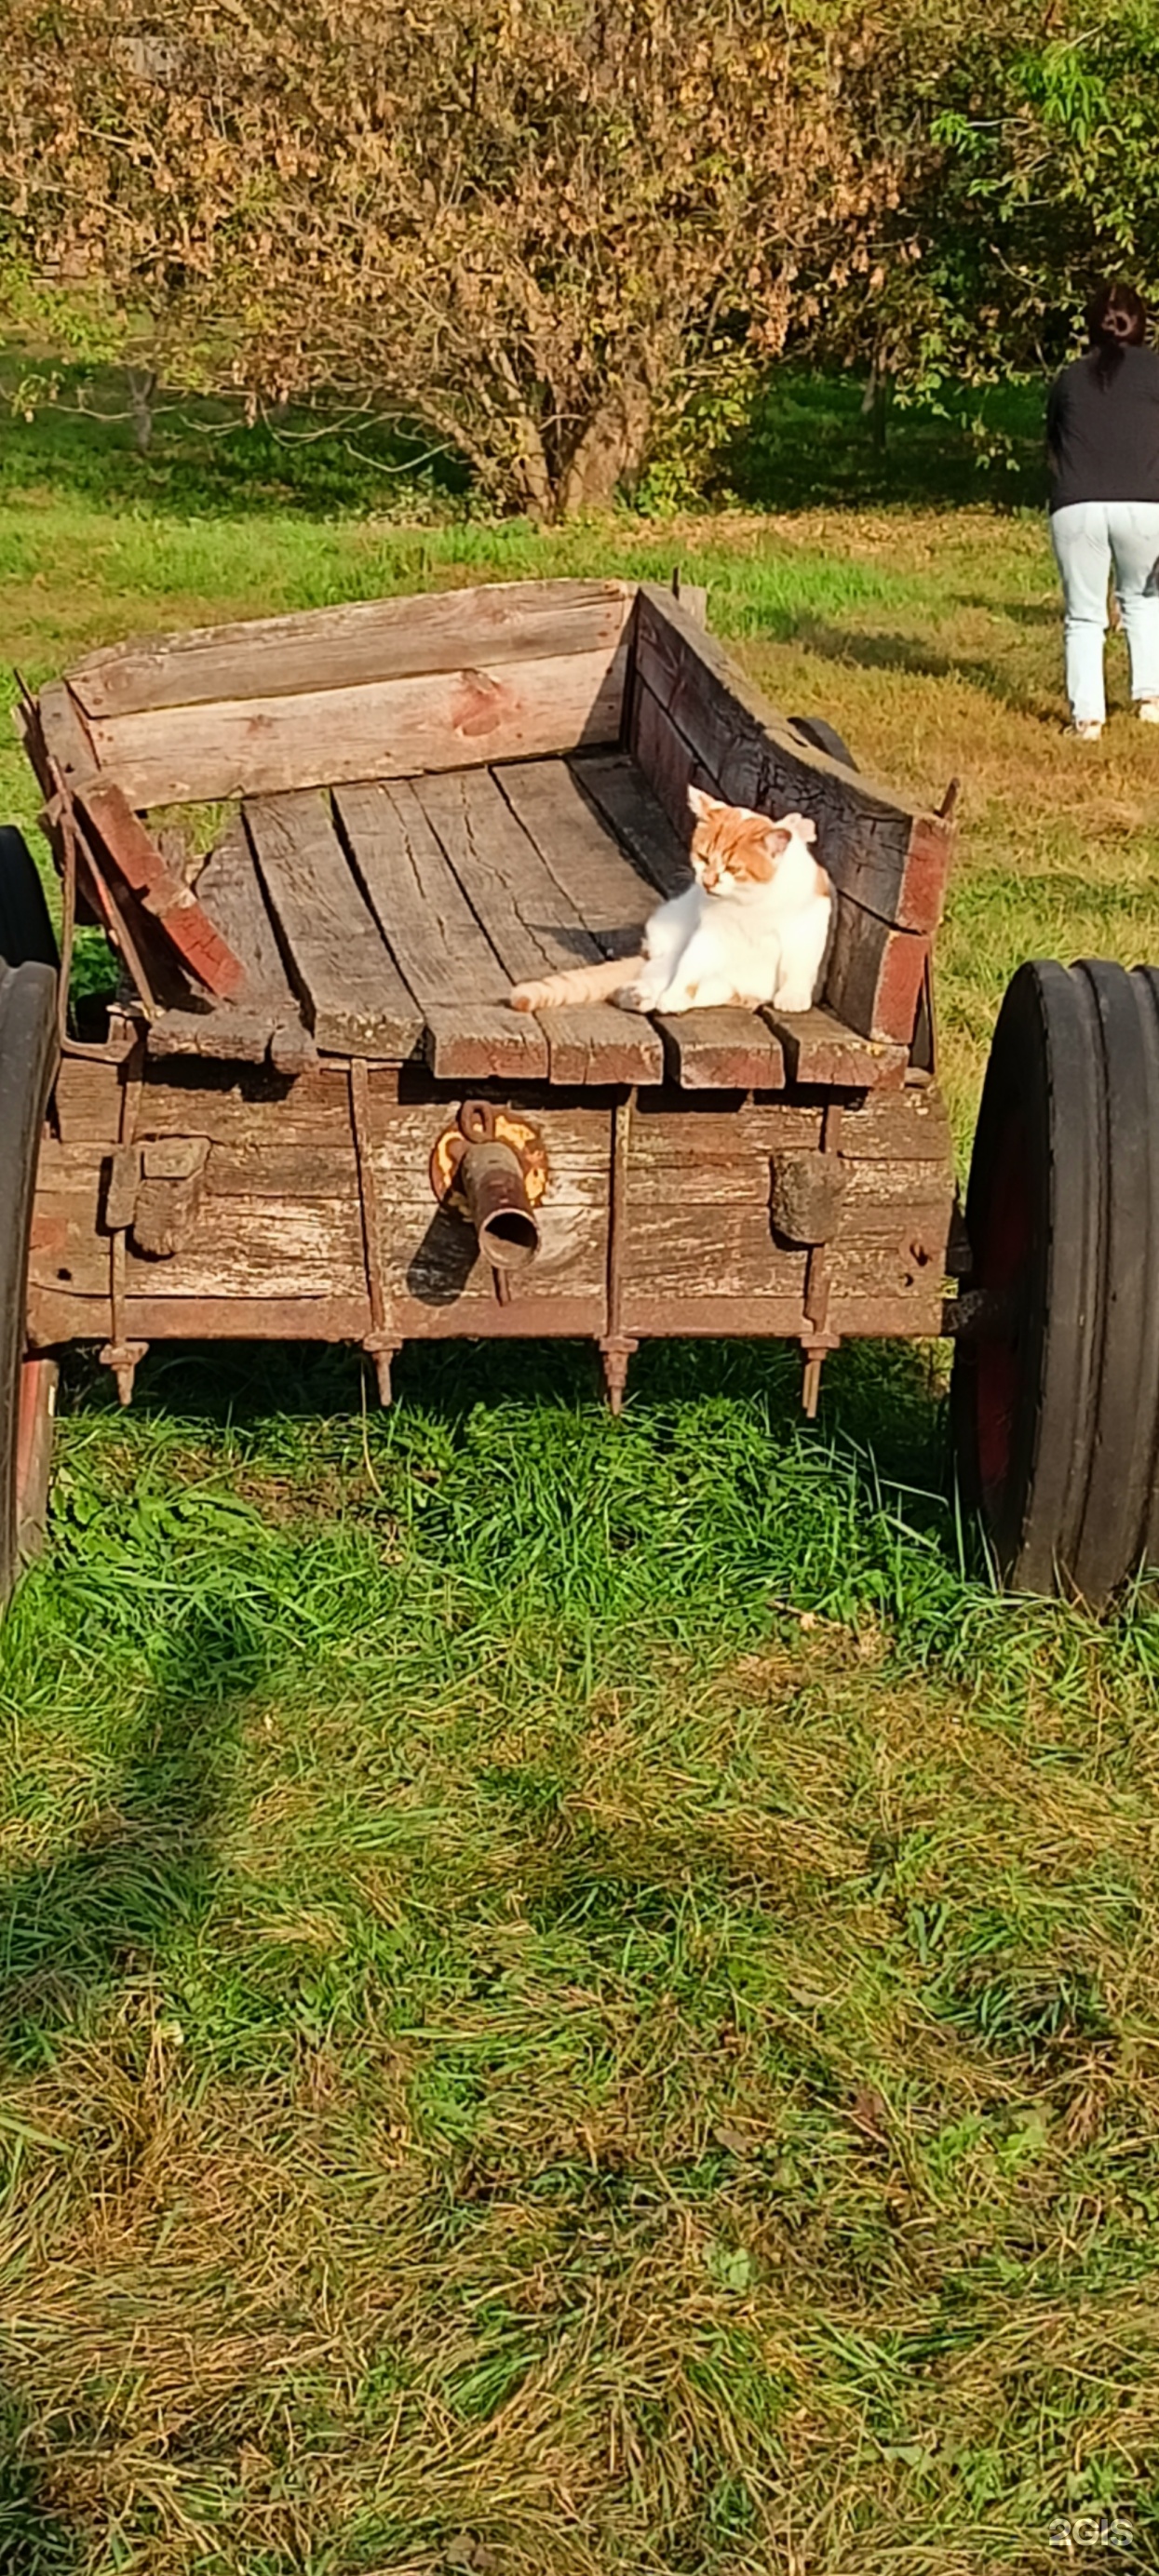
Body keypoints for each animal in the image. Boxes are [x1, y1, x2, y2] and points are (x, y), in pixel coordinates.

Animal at [509, 788, 834, 1020]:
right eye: (702, 857)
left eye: (733, 868)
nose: (708, 881)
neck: (750, 903)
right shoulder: (708, 936)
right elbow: (689, 969)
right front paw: (673, 996)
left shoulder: (806, 927)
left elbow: (798, 967)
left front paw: (792, 997)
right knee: (656, 976)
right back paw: (640, 995)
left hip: (730, 983)